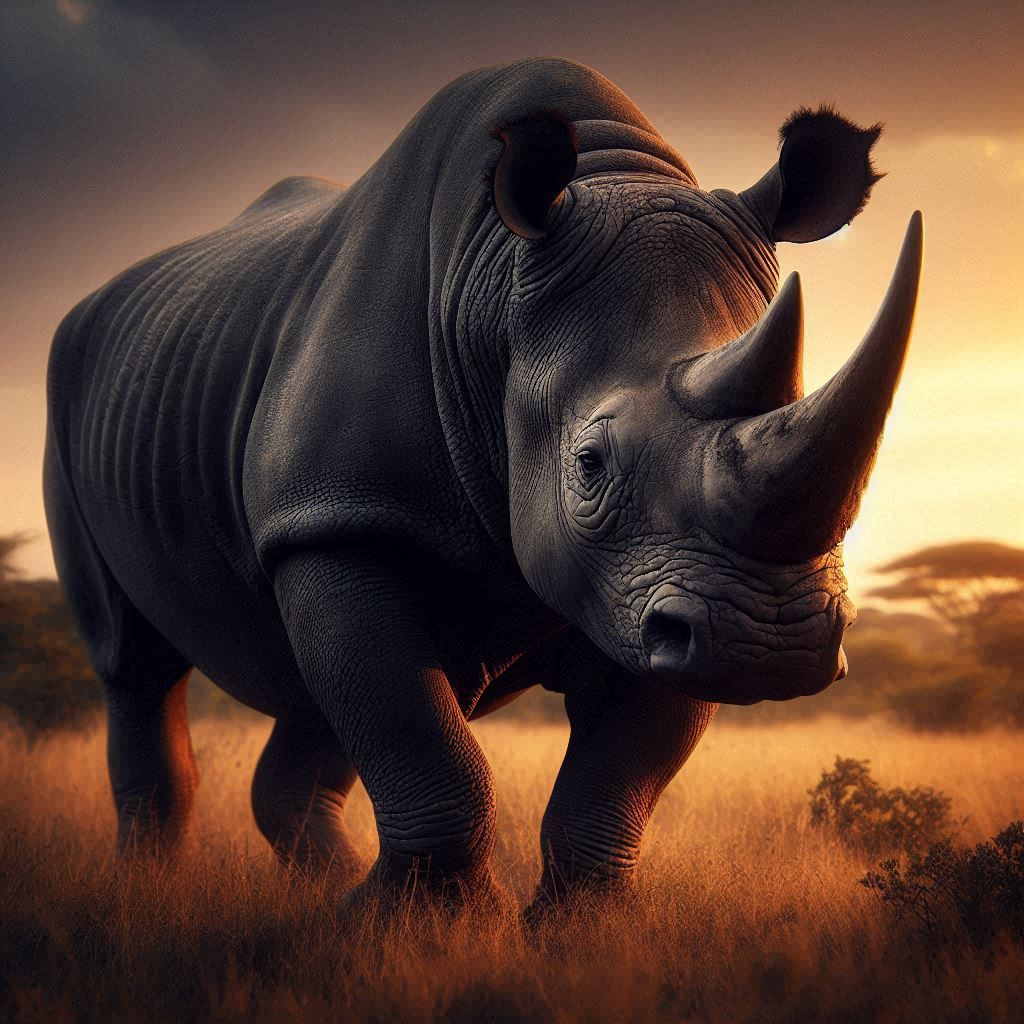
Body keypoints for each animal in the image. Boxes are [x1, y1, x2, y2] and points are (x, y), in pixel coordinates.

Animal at [44, 57, 922, 913]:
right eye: (588, 464)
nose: (770, 640)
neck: (496, 298)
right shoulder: (337, 514)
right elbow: (418, 737)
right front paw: (428, 929)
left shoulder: (657, 596)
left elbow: (614, 781)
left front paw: (579, 931)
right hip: (78, 391)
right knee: (133, 664)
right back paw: (154, 894)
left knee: (311, 702)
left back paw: (319, 895)